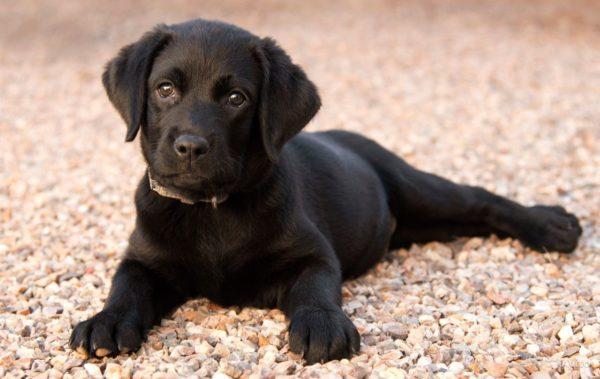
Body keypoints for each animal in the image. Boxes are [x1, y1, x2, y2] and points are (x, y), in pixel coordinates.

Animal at [69, 19, 580, 364]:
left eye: (236, 98)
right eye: (165, 89)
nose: (191, 146)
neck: (212, 209)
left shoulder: (313, 253)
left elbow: (314, 287)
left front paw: (321, 324)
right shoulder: (144, 258)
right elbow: (126, 285)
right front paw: (107, 321)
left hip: (416, 188)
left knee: (479, 200)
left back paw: (551, 224)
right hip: (423, 225)